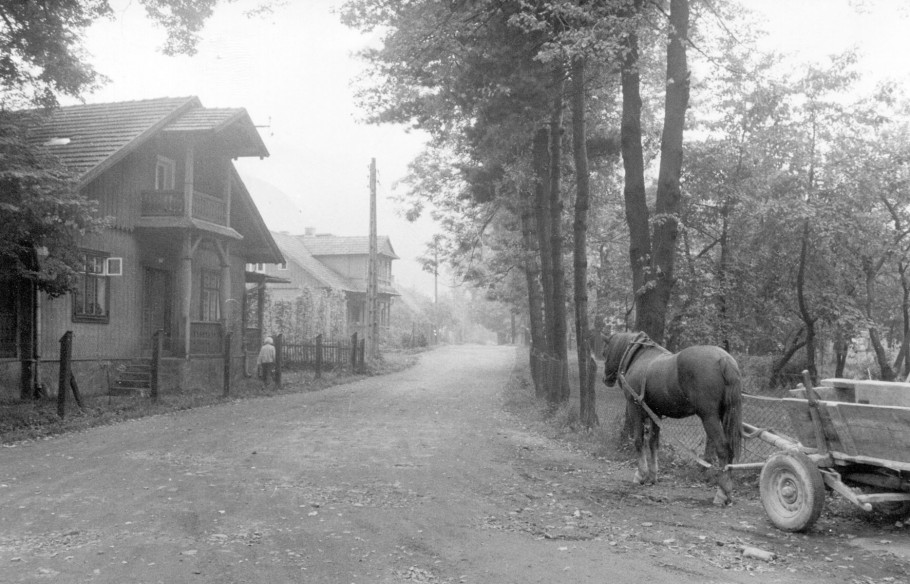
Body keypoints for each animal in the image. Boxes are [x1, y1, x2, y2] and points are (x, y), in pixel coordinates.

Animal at [604, 330, 744, 504]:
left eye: (605, 350)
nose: (606, 378)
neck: (640, 357)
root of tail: (724, 359)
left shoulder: (634, 407)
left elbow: (638, 441)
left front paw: (640, 475)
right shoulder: (655, 413)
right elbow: (653, 443)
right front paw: (652, 476)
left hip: (709, 417)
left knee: (723, 449)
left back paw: (721, 493)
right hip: (724, 416)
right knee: (729, 450)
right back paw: (727, 492)